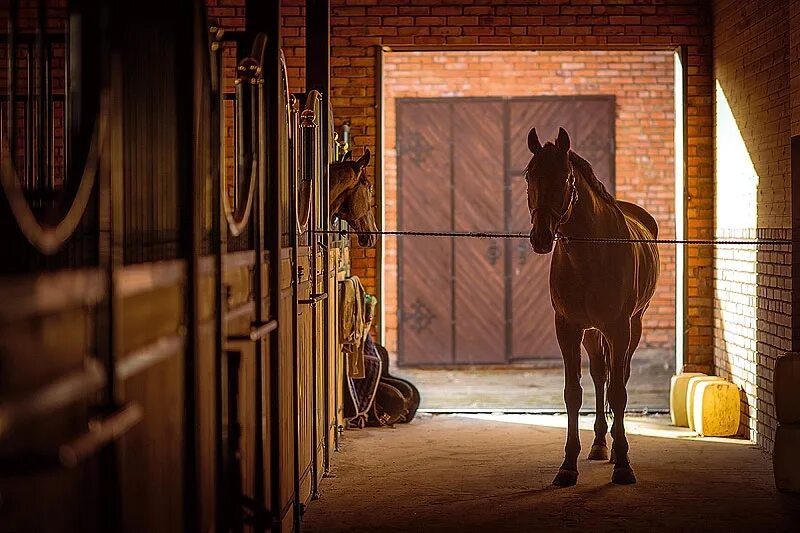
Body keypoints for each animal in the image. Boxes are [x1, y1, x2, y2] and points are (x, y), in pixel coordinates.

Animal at [524, 127, 656, 484]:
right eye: (529, 175)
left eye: (566, 177)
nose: (541, 238)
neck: (591, 255)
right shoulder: (568, 328)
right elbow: (573, 393)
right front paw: (568, 464)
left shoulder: (619, 328)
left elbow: (619, 393)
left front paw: (623, 463)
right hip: (592, 333)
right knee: (600, 375)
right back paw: (598, 444)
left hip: (632, 327)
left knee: (618, 376)